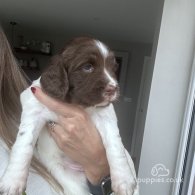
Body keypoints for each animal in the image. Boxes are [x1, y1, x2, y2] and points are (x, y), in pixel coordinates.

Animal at [0, 37, 139, 195]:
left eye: (113, 68)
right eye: (87, 67)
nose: (113, 89)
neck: (75, 102)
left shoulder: (105, 115)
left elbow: (115, 145)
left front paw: (124, 180)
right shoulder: (34, 106)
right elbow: (24, 144)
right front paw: (13, 180)